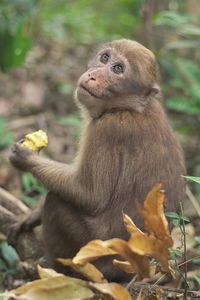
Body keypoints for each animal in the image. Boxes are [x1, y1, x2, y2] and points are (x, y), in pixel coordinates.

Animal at [7, 39, 186, 282]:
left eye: (118, 69)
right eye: (105, 58)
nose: (93, 75)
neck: (127, 108)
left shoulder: (107, 130)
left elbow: (91, 196)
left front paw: (25, 158)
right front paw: (31, 216)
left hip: (91, 253)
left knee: (56, 201)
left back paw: (54, 271)